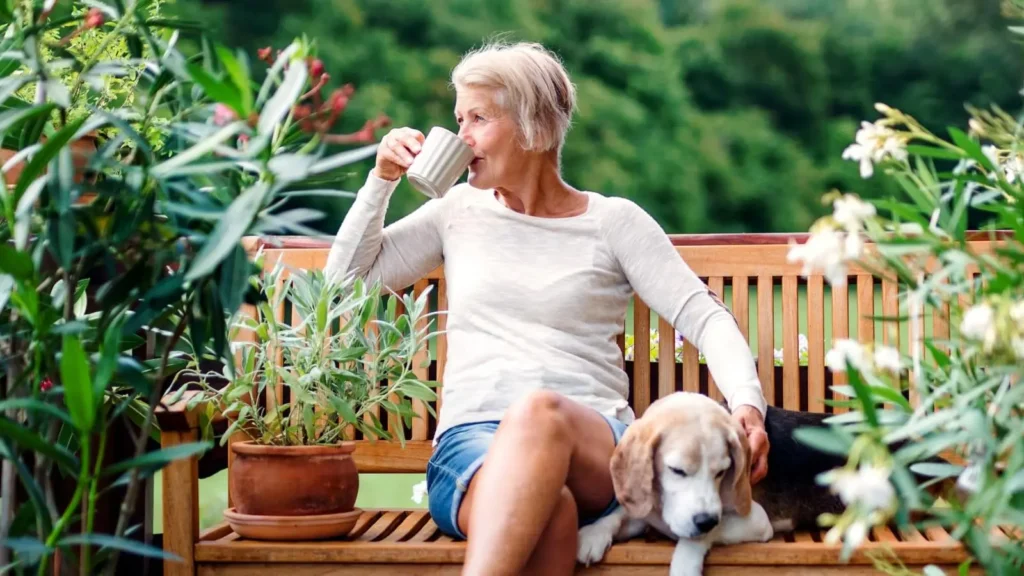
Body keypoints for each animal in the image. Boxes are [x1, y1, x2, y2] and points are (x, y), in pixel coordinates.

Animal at [577, 389, 847, 573]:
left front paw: (684, 564)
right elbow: (619, 514)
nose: (704, 520)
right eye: (677, 471)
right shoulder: (650, 515)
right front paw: (593, 533)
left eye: (721, 472)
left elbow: (703, 534)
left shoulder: (757, 521)